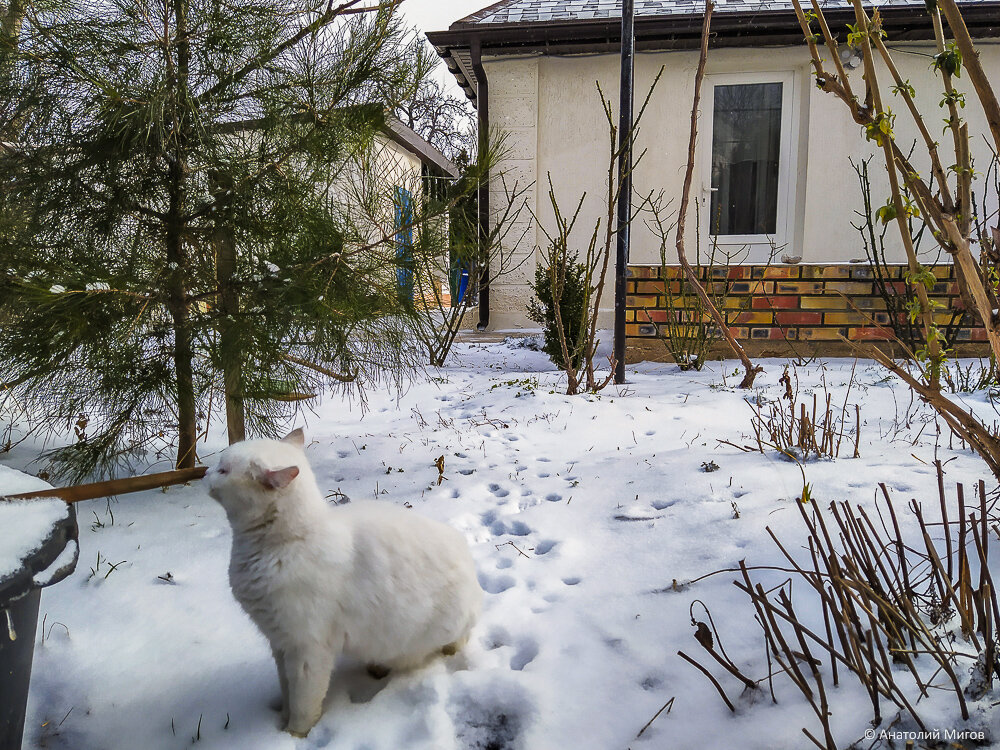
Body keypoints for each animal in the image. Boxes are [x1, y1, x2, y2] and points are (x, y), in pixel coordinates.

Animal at [205, 432, 482, 736]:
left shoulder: (307, 651)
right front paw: (281, 723)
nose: (205, 473)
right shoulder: (279, 644)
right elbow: (287, 692)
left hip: (451, 625)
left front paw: (293, 735)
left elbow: (303, 703)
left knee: (459, 640)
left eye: (222, 470)